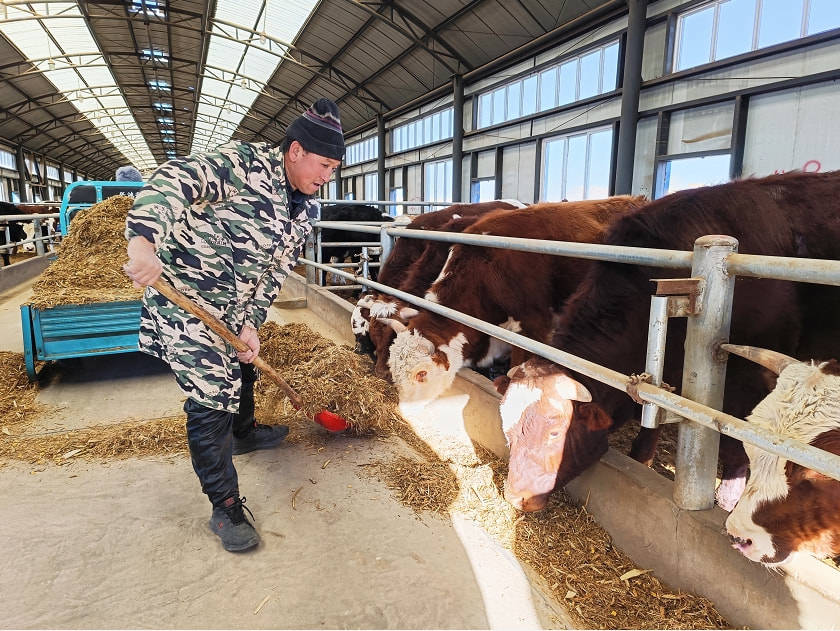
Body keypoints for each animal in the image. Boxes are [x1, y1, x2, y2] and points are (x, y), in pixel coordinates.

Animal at [496, 172, 840, 512]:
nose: (515, 496)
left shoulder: (751, 378)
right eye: (508, 430)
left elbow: (736, 444)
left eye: (555, 432)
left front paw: (729, 500)